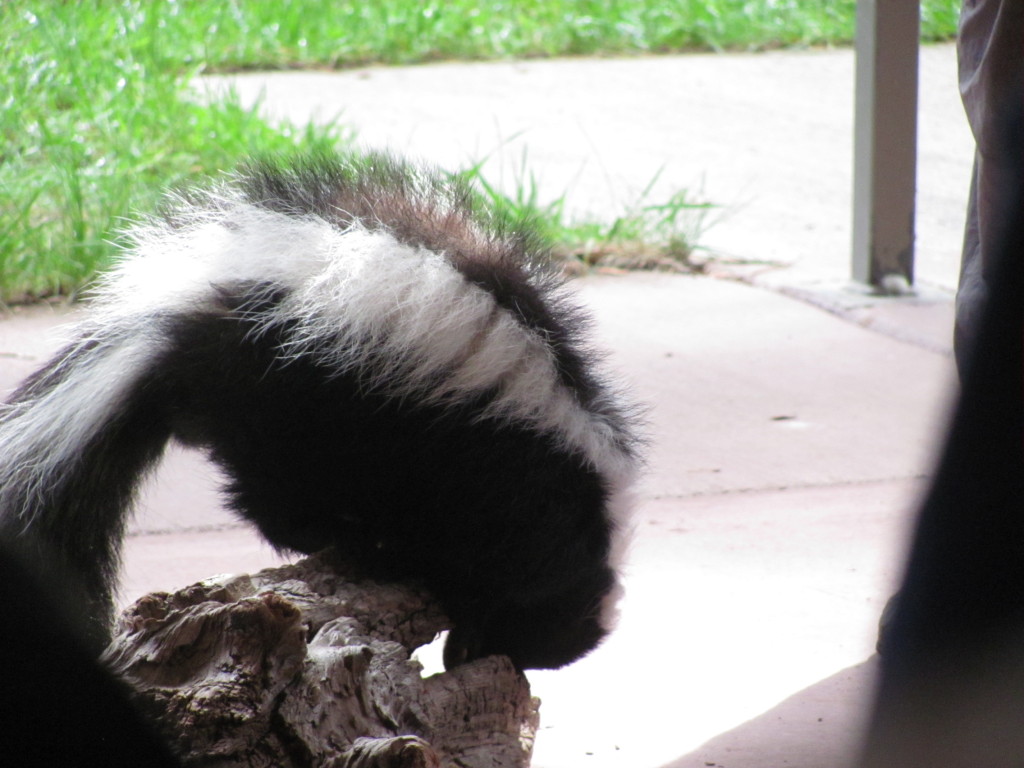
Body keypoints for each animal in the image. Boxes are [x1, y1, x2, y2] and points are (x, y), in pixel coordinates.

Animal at [0, 154, 638, 671]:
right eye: (525, 630)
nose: (466, 656)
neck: (588, 508)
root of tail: (183, 331)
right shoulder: (500, 485)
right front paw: (420, 569)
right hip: (293, 404)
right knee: (270, 498)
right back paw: (348, 539)